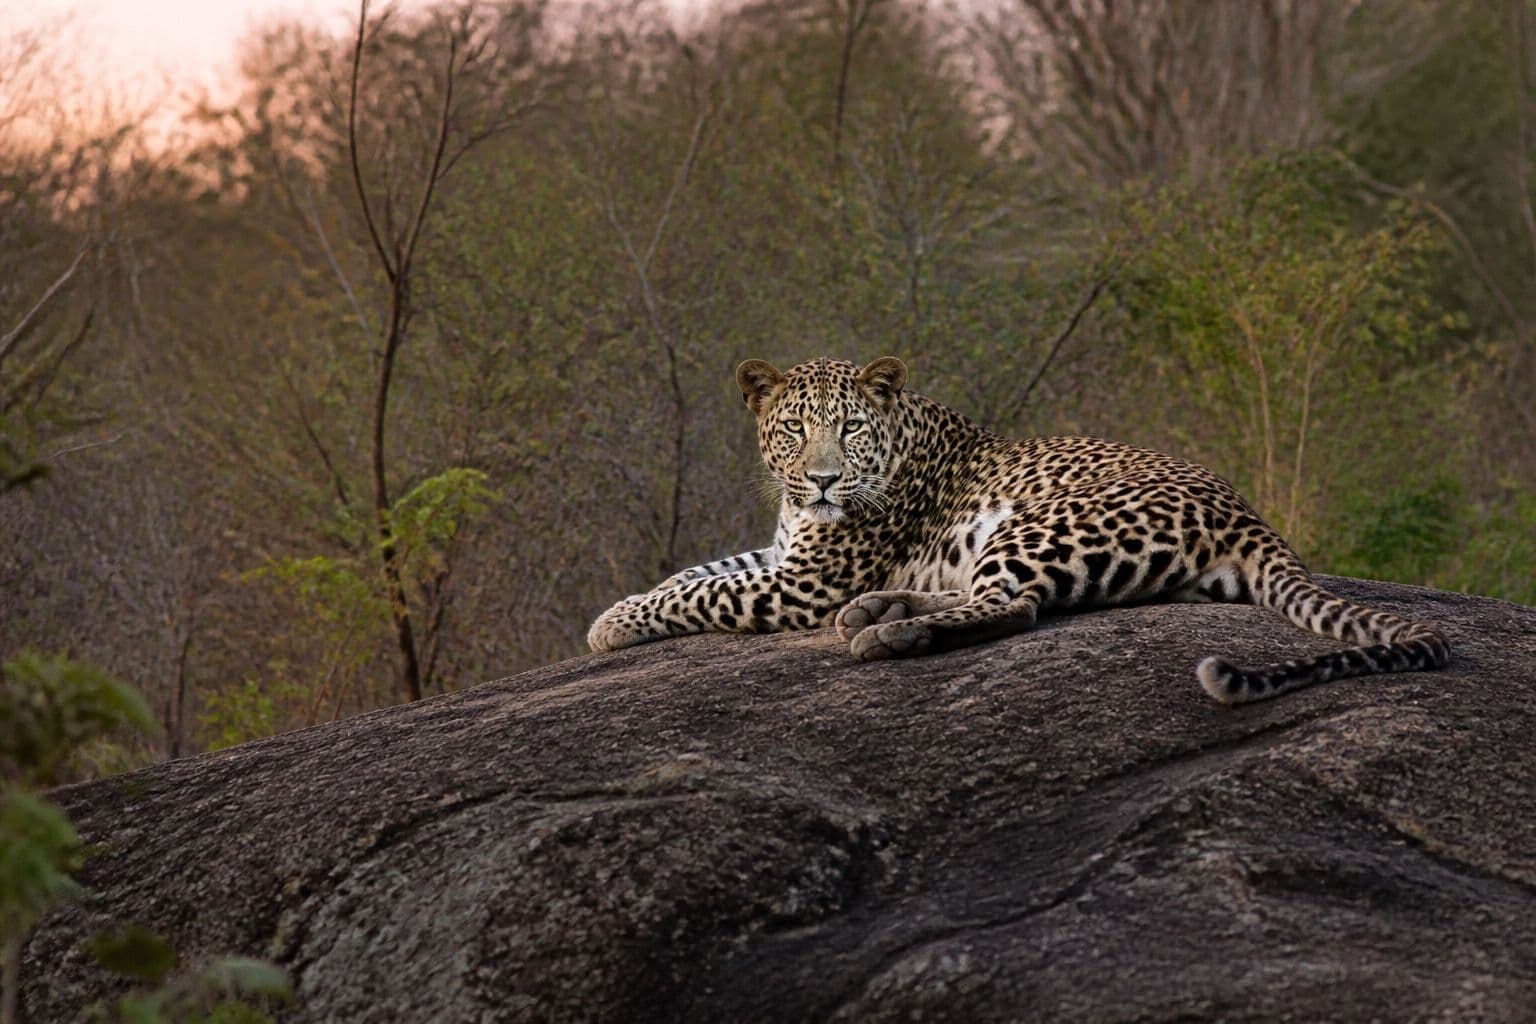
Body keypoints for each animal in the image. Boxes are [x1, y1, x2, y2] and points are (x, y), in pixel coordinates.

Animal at [587, 356, 1450, 704]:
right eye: (796, 429)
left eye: (850, 429)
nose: (826, 479)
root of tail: (1246, 511)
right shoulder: (782, 554)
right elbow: (694, 573)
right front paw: (619, 608)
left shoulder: (801, 584)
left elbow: (703, 594)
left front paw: (608, 626)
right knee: (992, 596)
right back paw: (880, 612)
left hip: (1043, 522)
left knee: (1016, 606)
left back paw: (883, 632)